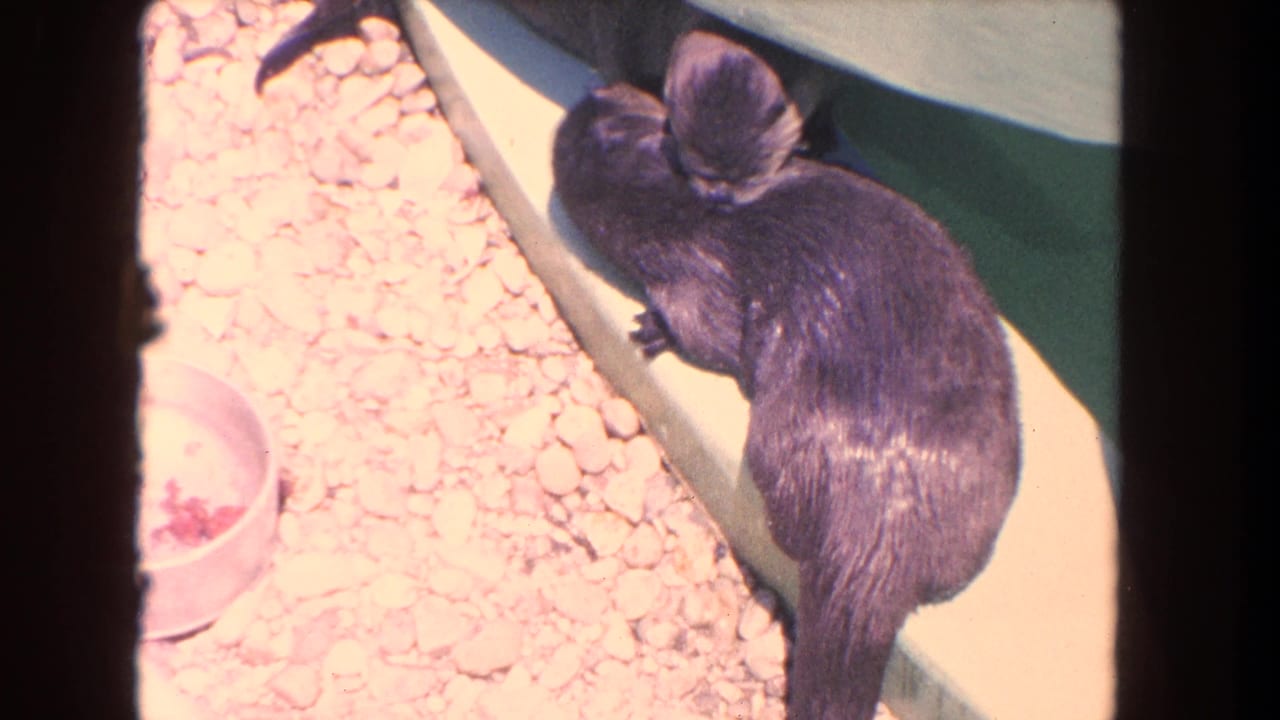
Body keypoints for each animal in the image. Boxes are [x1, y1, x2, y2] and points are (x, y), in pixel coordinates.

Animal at [553, 31, 1020, 720]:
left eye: (605, 111)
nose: (595, 90)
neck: (678, 205)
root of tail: (875, 537)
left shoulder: (692, 272)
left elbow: (706, 335)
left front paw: (651, 330)